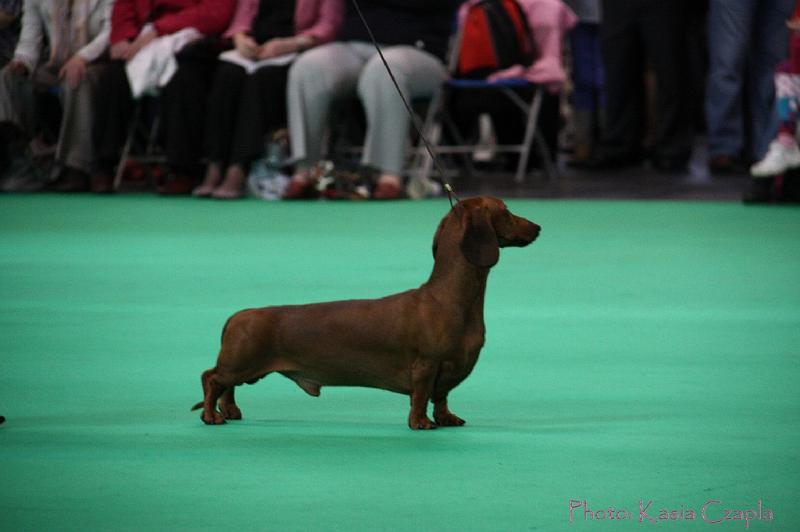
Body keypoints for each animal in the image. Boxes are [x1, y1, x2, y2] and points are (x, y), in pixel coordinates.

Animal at [191, 197, 540, 430]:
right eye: (506, 212)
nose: (537, 227)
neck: (449, 298)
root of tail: (238, 315)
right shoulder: (426, 364)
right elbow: (421, 396)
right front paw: (420, 422)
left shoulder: (450, 369)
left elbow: (441, 397)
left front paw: (446, 419)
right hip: (240, 363)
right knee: (211, 378)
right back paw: (211, 415)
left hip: (245, 369)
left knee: (226, 387)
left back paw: (230, 411)